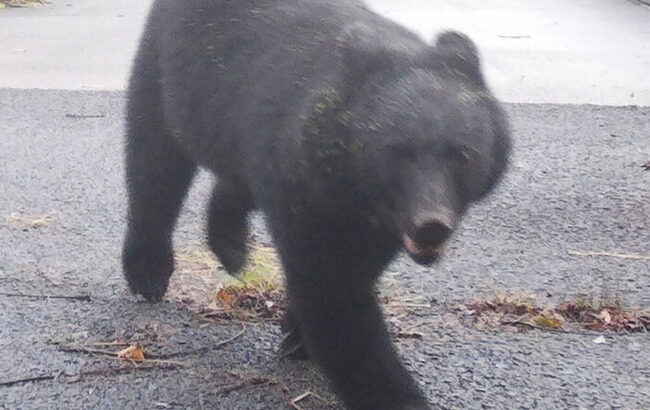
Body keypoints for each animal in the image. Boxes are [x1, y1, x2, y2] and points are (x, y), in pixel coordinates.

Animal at [120, 1, 506, 408]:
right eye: (397, 152)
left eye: (463, 154)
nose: (431, 224)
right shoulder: (306, 187)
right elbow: (332, 290)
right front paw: (397, 394)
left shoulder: (371, 217)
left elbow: (358, 267)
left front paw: (295, 332)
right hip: (171, 71)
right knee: (154, 161)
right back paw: (148, 269)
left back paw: (229, 244)